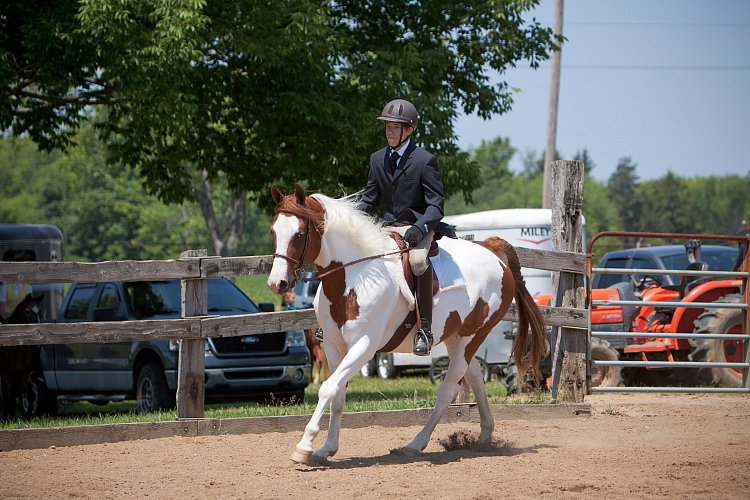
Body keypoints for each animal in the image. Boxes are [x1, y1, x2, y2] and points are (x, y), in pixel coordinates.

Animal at [0, 292, 43, 420]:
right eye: (27, 311)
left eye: (39, 311)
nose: (38, 344)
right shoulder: (7, 375)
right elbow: (8, 394)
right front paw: (7, 417)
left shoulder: (25, 374)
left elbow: (27, 393)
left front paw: (28, 416)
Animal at [268, 185, 548, 464]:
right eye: (273, 230)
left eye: (299, 234)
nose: (277, 283)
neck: (354, 278)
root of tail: (491, 249)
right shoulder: (334, 346)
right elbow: (337, 393)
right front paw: (327, 448)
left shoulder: (364, 346)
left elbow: (327, 389)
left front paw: (304, 446)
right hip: (457, 338)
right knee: (475, 375)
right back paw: (484, 436)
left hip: (471, 336)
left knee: (448, 390)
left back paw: (415, 444)